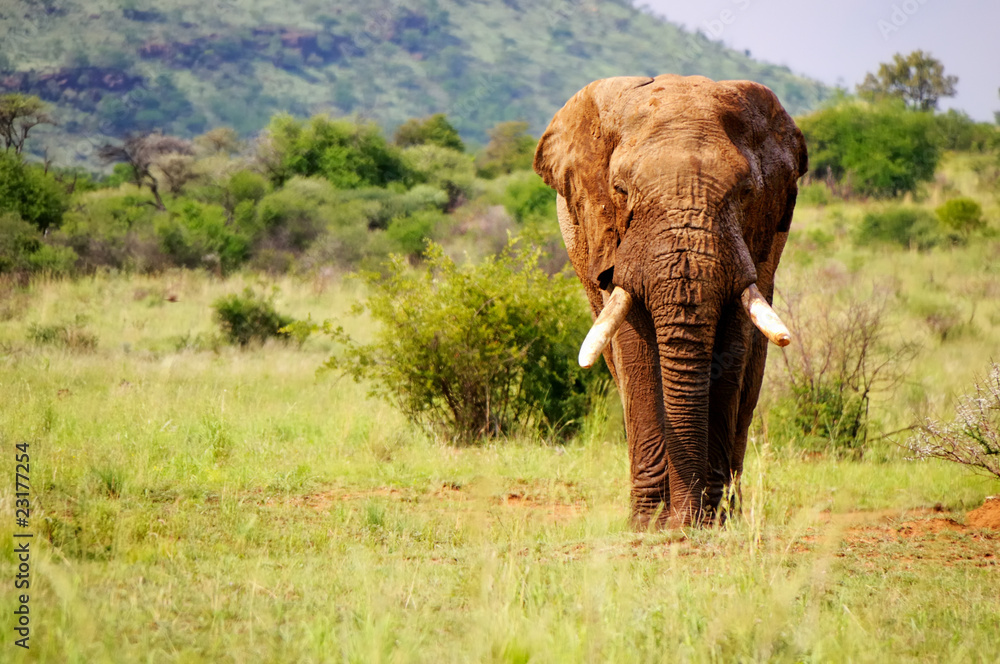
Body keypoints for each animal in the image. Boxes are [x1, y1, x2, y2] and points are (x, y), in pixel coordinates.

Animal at [533, 74, 807, 528]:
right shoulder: (609, 239)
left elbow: (733, 347)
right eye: (620, 190)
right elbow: (634, 350)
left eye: (746, 193)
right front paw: (650, 524)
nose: (685, 517)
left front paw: (706, 521)